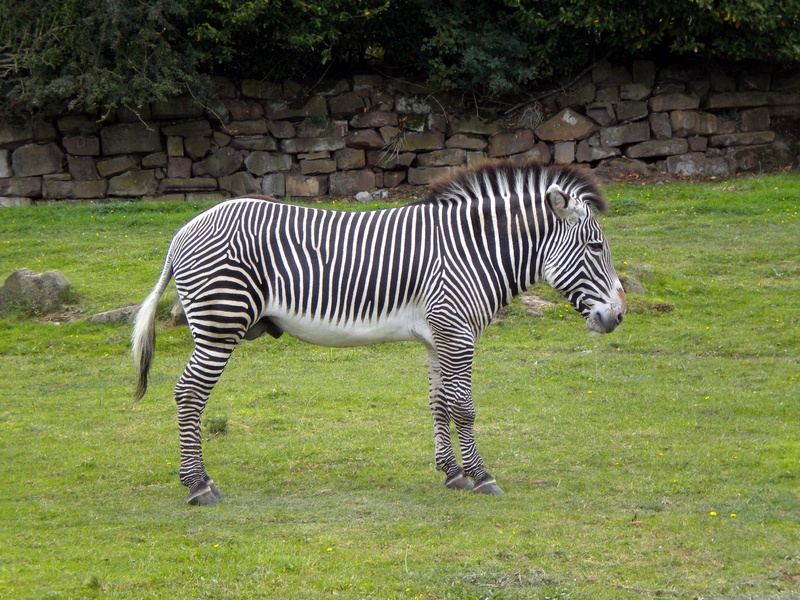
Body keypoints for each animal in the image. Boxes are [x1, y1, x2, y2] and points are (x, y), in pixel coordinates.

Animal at [132, 160, 626, 505]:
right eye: (595, 246)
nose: (620, 316)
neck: (473, 251)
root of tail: (182, 232)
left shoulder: (438, 336)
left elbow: (440, 404)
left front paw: (452, 473)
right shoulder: (458, 332)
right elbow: (464, 408)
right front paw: (482, 476)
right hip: (220, 323)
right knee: (189, 395)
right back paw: (198, 486)